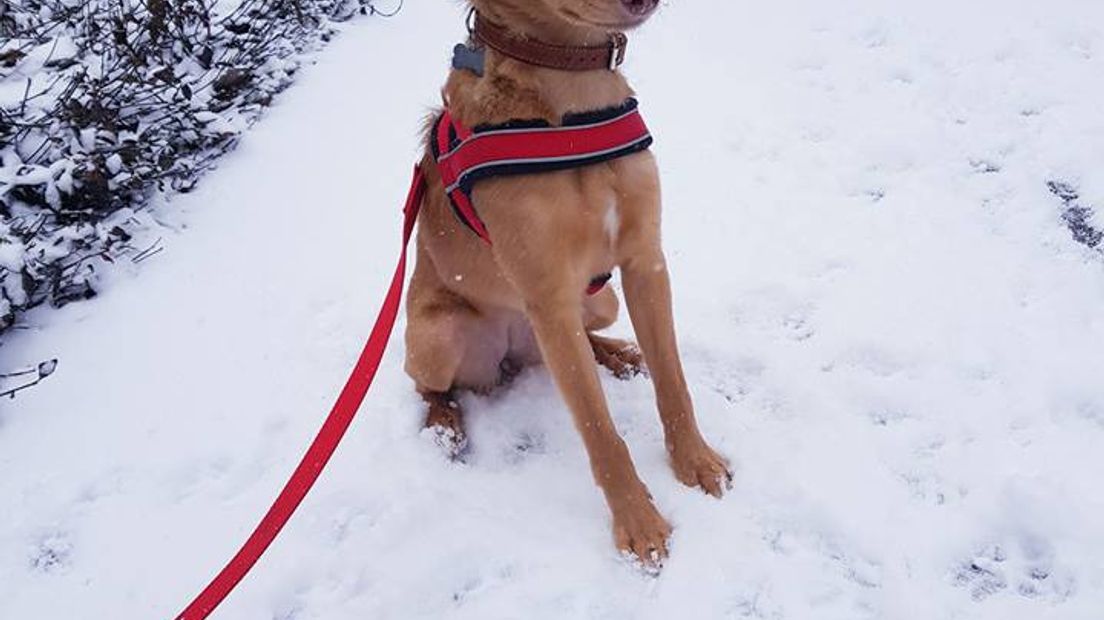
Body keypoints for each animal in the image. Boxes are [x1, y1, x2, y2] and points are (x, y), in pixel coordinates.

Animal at [401, 0, 728, 562]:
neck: (571, 87)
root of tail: (512, 355)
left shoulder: (644, 262)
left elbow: (673, 384)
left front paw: (696, 461)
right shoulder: (548, 299)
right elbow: (600, 432)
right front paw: (638, 525)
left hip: (602, 300)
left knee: (587, 340)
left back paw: (619, 355)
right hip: (436, 334)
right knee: (427, 386)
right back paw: (443, 424)